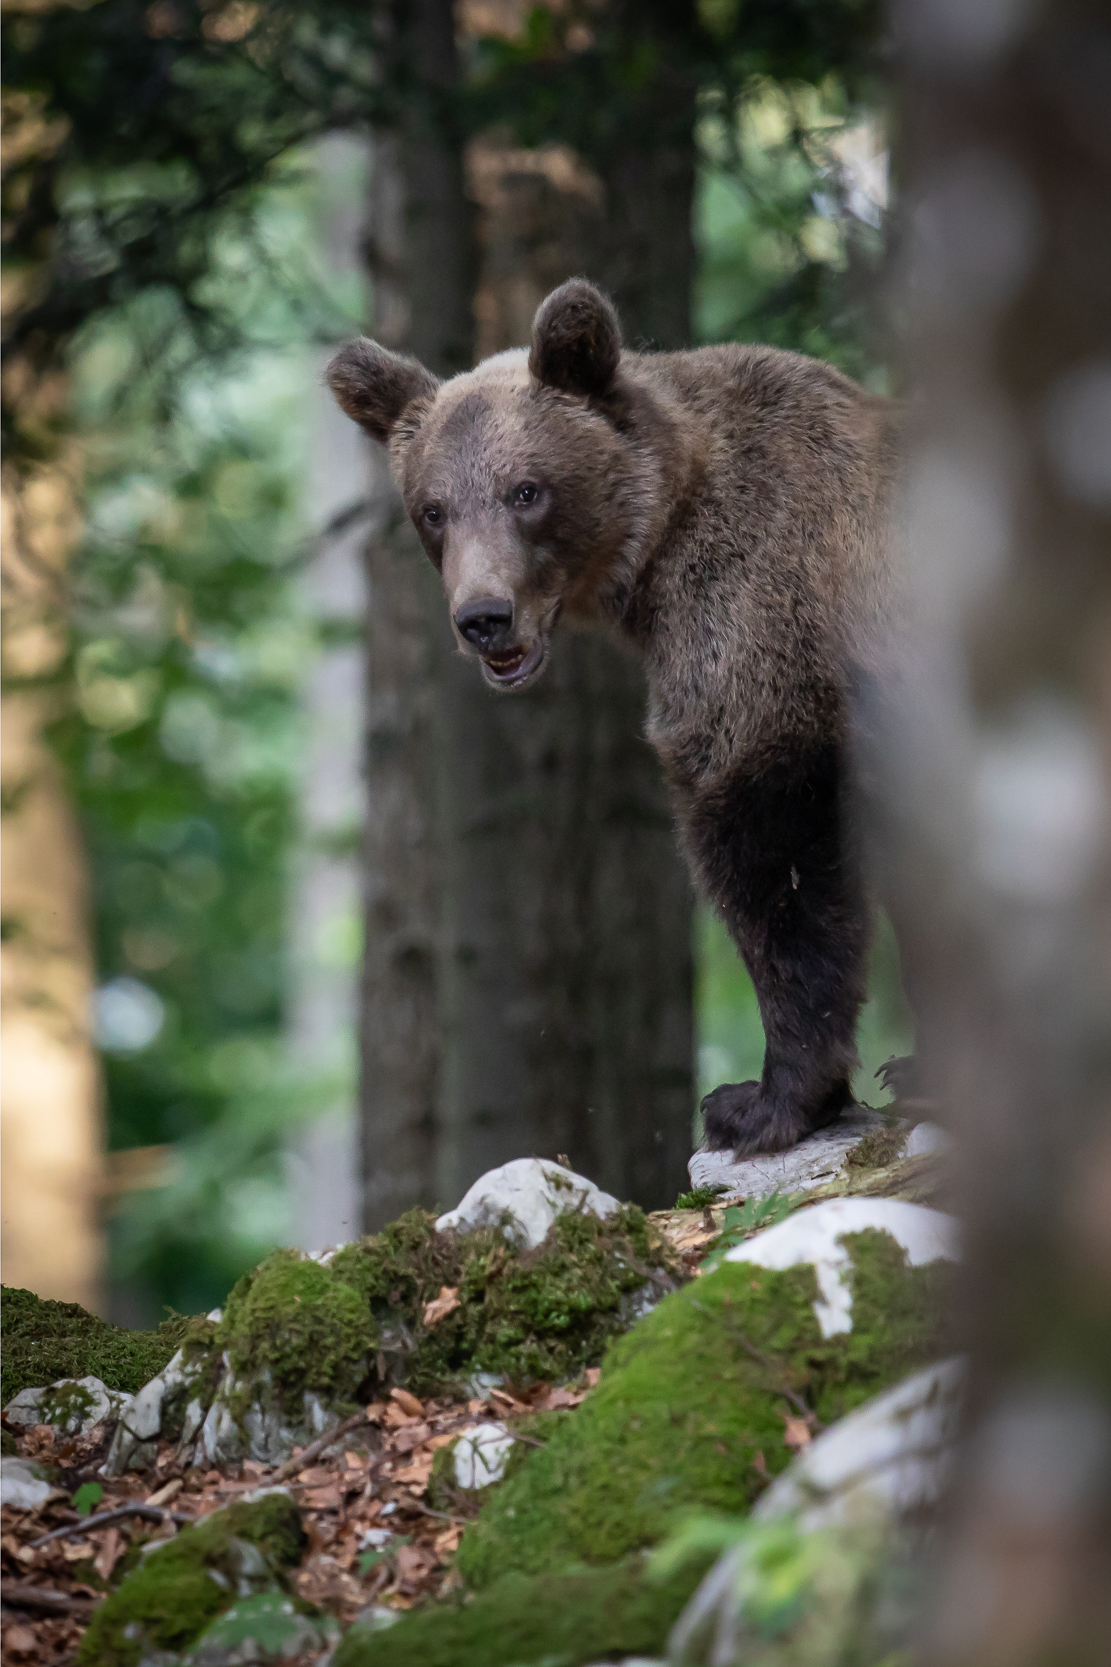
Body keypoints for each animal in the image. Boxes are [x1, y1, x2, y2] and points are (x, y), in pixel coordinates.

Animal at [326, 278, 903, 1157]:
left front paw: (759, 1101)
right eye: (433, 509)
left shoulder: (762, 618)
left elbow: (773, 857)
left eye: (526, 490)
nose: (483, 617)